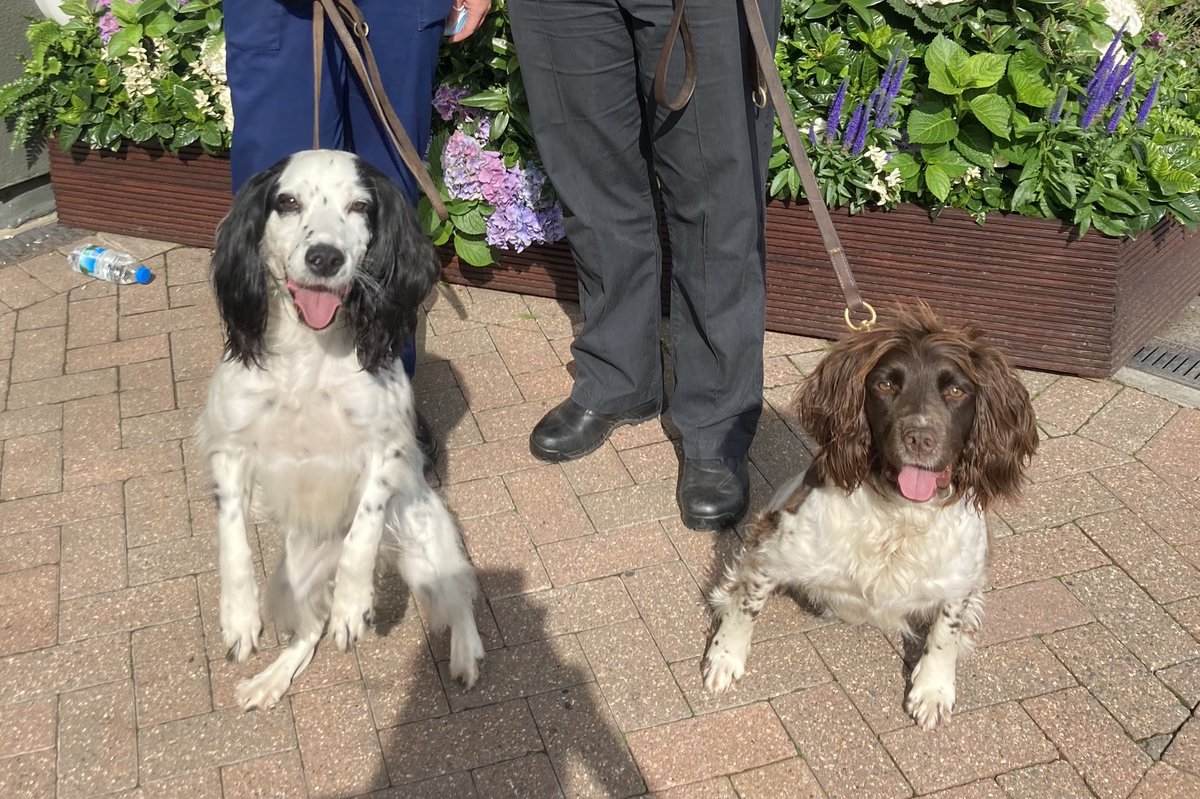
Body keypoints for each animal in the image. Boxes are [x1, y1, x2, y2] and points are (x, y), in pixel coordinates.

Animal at [198, 146, 482, 705]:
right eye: (287, 202)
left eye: (359, 206)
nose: (324, 257)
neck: (310, 349)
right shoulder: (230, 449)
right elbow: (232, 539)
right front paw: (237, 618)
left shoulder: (384, 448)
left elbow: (362, 534)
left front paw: (353, 605)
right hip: (290, 582)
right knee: (307, 633)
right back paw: (272, 679)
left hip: (426, 548)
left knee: (460, 596)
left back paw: (465, 653)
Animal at [700, 302, 1036, 724]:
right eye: (886, 386)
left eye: (957, 390)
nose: (920, 437)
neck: (900, 516)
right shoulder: (772, 548)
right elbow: (746, 604)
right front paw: (725, 656)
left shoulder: (961, 578)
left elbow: (946, 631)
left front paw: (933, 689)